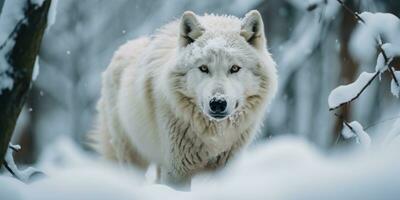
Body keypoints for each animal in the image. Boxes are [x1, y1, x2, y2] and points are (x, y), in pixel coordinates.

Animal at [92, 9, 276, 189]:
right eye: (203, 68)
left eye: (235, 68)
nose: (217, 103)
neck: (215, 136)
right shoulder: (176, 172)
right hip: (131, 155)